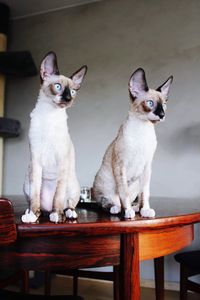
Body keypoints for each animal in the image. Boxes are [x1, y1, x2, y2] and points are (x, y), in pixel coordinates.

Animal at [22, 51, 87, 223]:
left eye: (73, 92)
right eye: (58, 87)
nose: (68, 99)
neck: (49, 115)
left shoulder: (62, 159)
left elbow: (58, 197)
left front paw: (57, 215)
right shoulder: (36, 159)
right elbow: (35, 197)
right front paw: (33, 215)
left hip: (72, 183)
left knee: (67, 203)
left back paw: (66, 213)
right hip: (27, 181)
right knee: (38, 203)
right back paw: (32, 213)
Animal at [93, 67, 173, 218]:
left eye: (164, 105)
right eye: (150, 103)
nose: (162, 115)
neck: (143, 129)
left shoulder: (146, 167)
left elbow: (144, 193)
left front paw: (145, 210)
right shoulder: (121, 165)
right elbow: (123, 193)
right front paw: (127, 212)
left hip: (135, 182)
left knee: (133, 197)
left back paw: (136, 209)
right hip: (105, 181)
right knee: (108, 202)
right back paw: (118, 209)